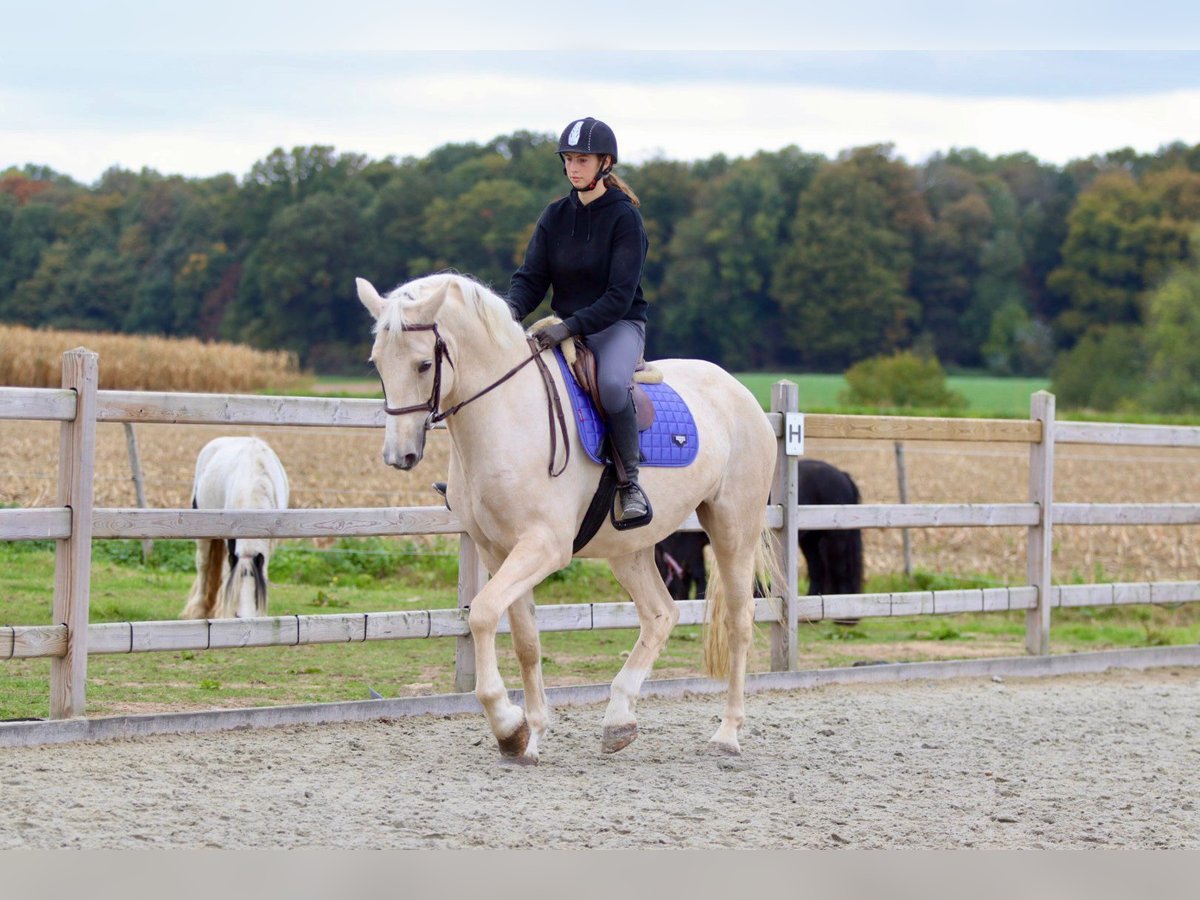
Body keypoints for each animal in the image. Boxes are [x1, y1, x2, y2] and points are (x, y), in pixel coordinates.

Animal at [356, 272, 779, 763]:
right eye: (377, 363)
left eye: (424, 364)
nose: (398, 456)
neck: (507, 416)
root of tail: (739, 392)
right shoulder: (498, 551)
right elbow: (526, 642)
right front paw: (531, 734)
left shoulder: (543, 547)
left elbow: (481, 614)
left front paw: (507, 725)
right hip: (630, 548)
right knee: (661, 614)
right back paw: (618, 720)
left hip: (733, 528)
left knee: (739, 621)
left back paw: (726, 734)